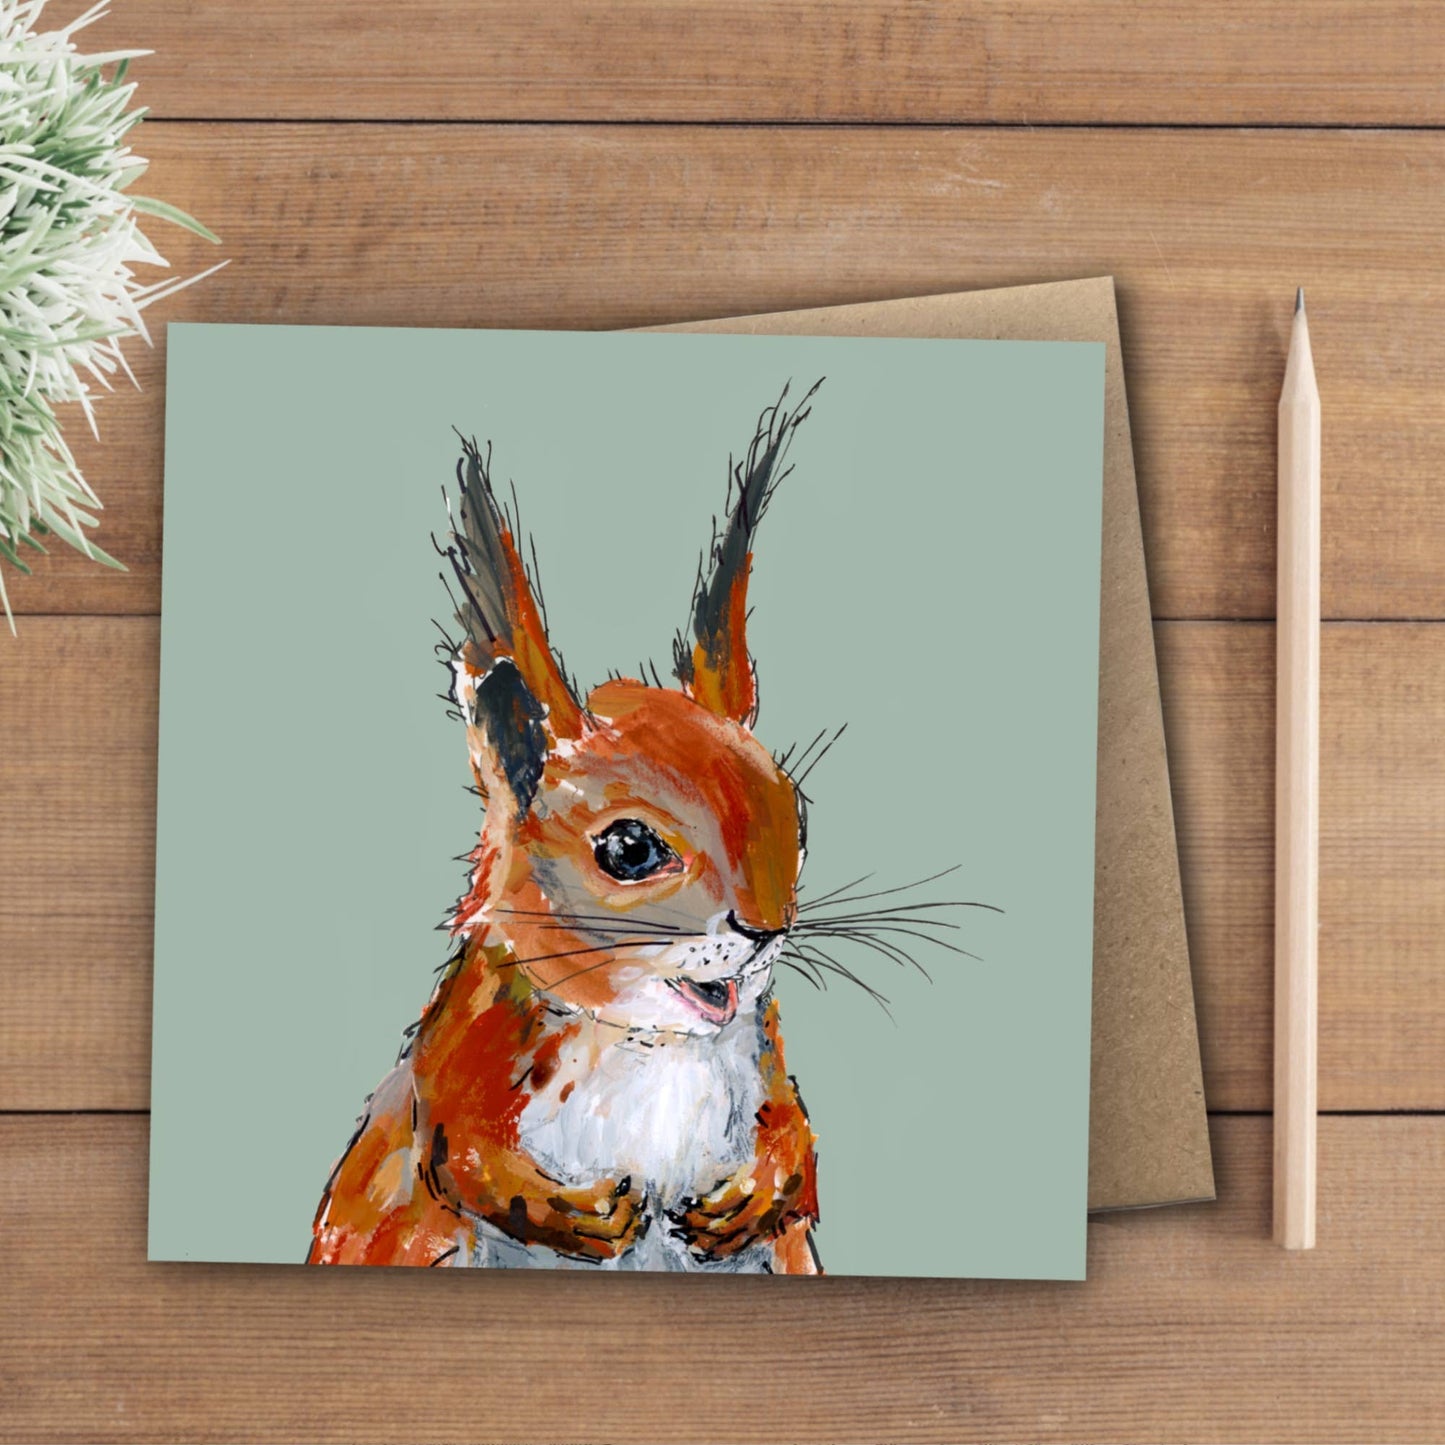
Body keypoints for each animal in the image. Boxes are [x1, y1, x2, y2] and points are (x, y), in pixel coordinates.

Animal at [309, 383, 824, 1273]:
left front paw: (753, 1191)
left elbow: (797, 1144)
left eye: (794, 816)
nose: (766, 930)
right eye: (627, 848)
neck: (647, 1039)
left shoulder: (763, 1048)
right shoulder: (463, 1044)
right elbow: (457, 1150)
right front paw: (574, 1212)